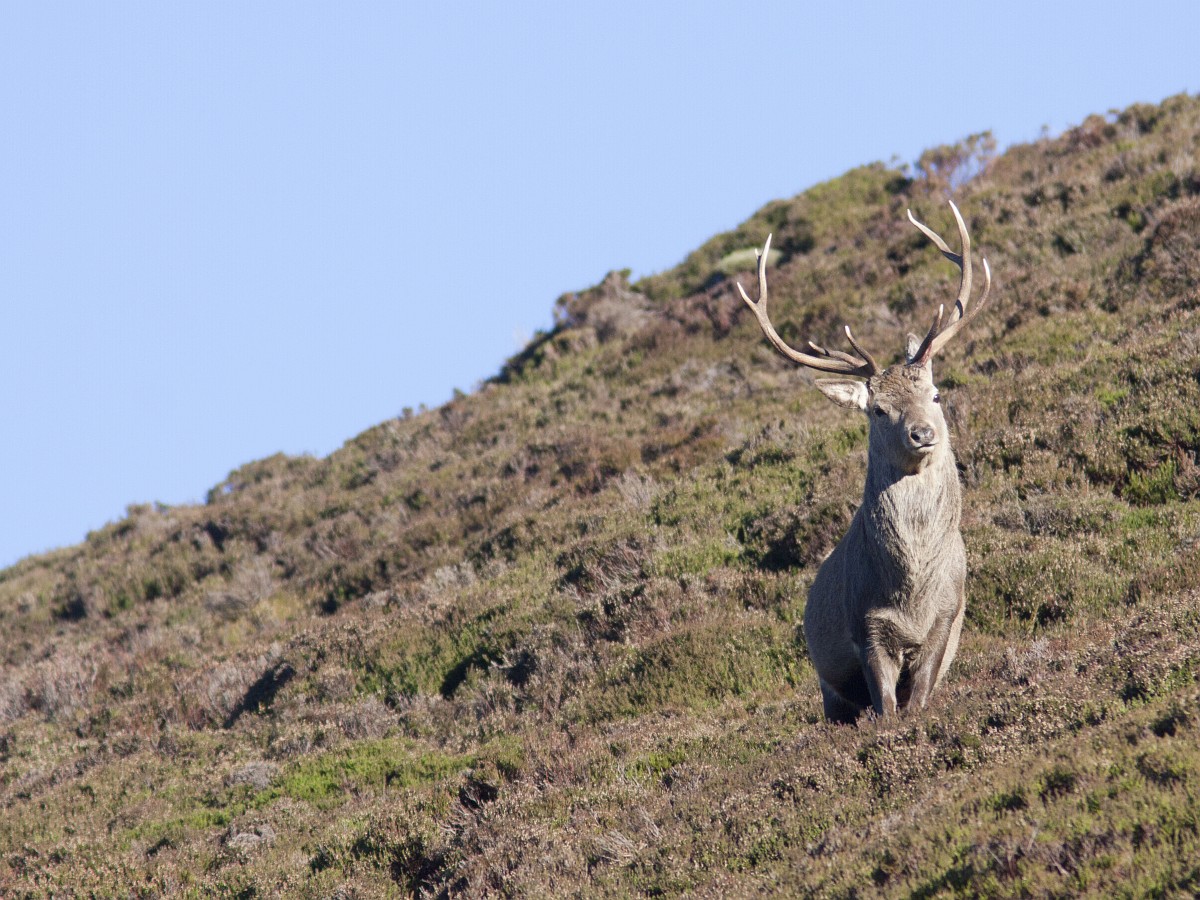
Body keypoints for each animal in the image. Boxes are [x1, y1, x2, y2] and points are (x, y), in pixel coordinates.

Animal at [736, 201, 991, 723]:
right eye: (878, 409)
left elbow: (918, 699)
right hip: (828, 688)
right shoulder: (866, 627)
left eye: (936, 393)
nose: (922, 433)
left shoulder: (946, 616)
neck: (910, 593)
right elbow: (887, 707)